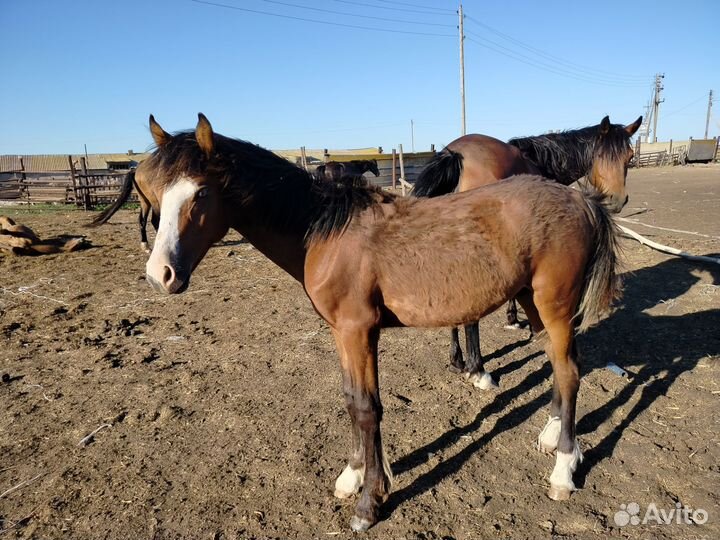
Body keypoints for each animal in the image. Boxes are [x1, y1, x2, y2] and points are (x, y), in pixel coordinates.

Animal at [413, 115, 641, 390]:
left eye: (629, 156)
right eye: (600, 155)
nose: (617, 200)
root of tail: (456, 154)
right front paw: (518, 321)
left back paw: (457, 360)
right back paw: (478, 371)